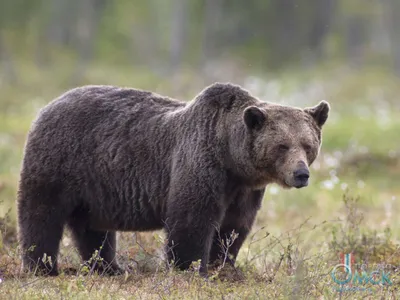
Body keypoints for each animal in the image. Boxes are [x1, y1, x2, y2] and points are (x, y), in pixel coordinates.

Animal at [16, 82, 328, 276]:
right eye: (282, 146)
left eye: (308, 144)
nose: (301, 174)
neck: (231, 157)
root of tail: (47, 106)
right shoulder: (200, 163)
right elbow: (191, 220)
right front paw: (190, 268)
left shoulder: (243, 190)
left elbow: (233, 228)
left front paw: (223, 265)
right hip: (59, 162)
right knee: (41, 215)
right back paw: (43, 266)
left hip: (95, 187)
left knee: (92, 229)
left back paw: (109, 268)